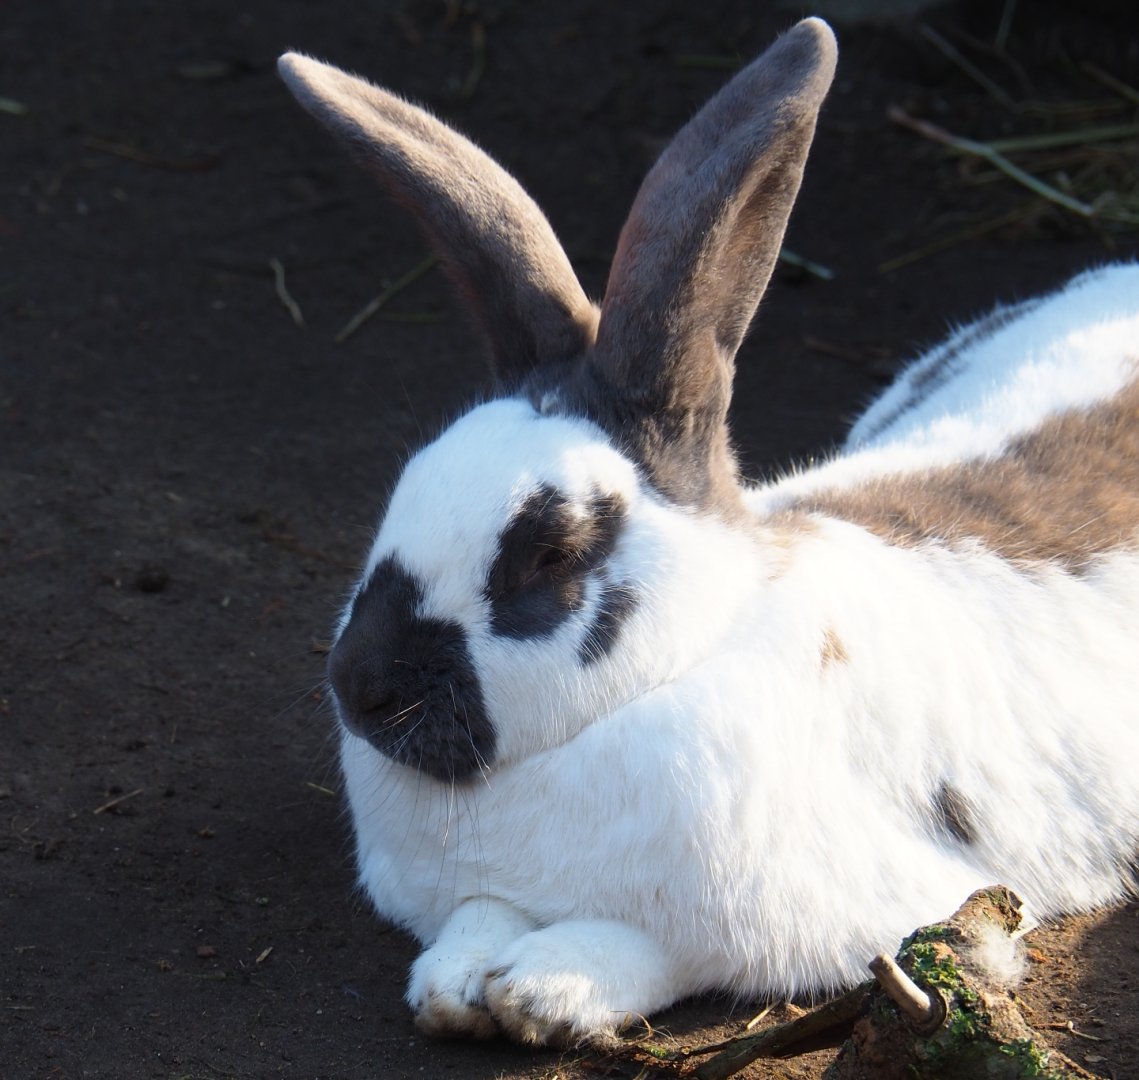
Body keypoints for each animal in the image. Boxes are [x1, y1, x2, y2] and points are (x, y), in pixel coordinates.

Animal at [278, 16, 1139, 1048]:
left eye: (551, 553)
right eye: (400, 493)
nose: (359, 688)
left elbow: (654, 950)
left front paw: (542, 990)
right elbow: (478, 918)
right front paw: (455, 985)